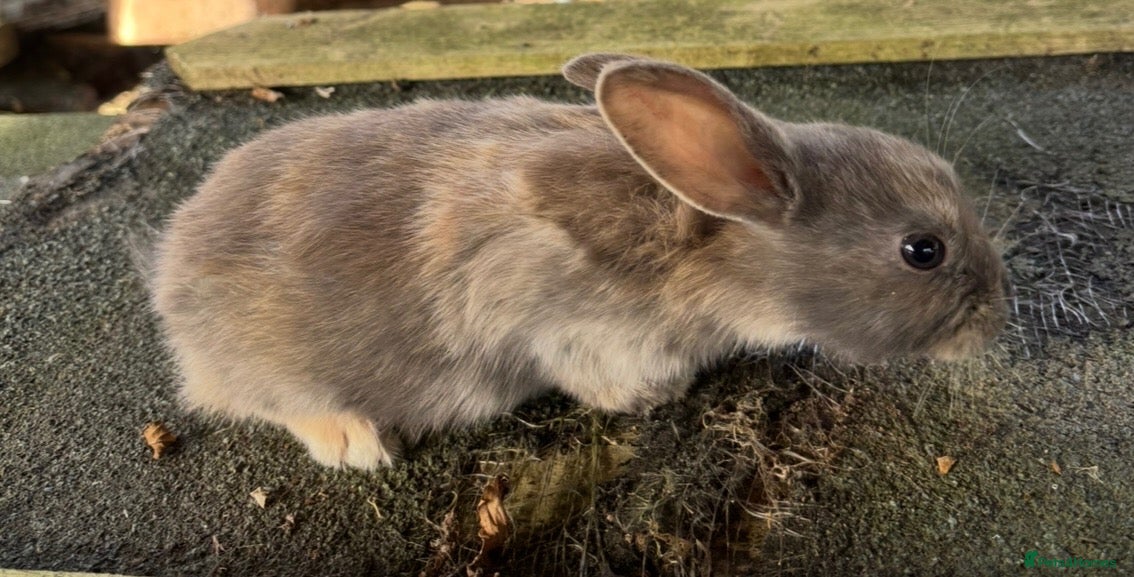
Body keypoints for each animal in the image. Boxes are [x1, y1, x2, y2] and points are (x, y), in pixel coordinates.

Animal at [150, 53, 1007, 469]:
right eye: (923, 250)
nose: (994, 319)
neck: (717, 240)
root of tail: (170, 275)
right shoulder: (565, 323)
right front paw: (661, 394)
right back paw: (353, 442)